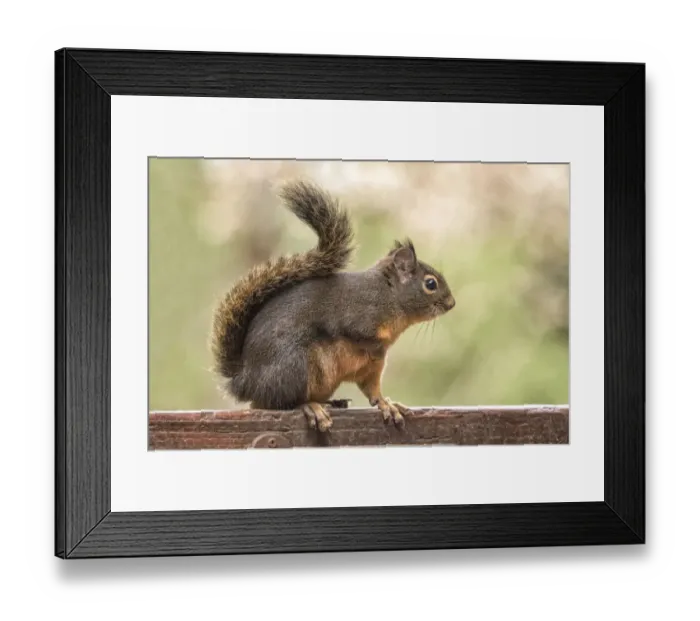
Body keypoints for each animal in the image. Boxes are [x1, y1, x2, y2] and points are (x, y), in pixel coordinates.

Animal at [210, 180, 456, 432]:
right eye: (430, 284)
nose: (451, 303)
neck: (389, 295)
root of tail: (245, 381)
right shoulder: (359, 314)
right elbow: (353, 333)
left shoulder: (372, 367)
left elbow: (373, 391)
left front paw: (387, 404)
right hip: (293, 367)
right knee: (279, 403)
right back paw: (311, 407)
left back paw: (331, 403)